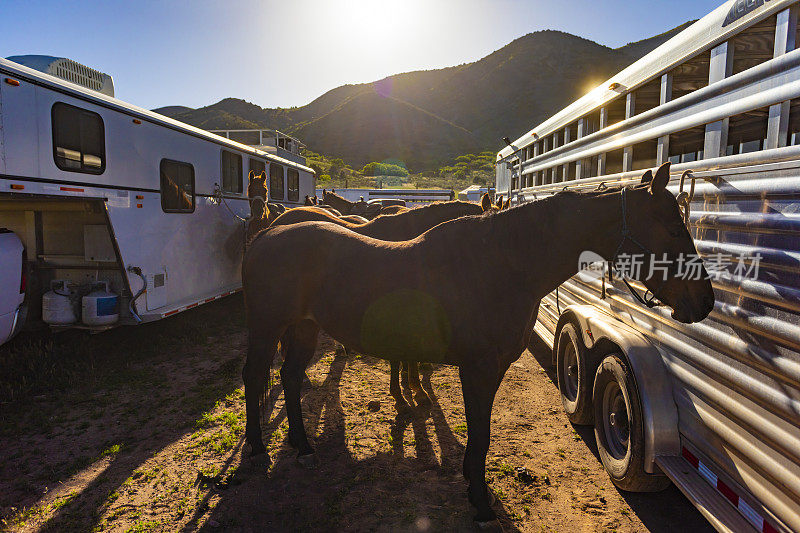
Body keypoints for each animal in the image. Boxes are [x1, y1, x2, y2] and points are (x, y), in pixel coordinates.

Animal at [242, 164, 712, 524]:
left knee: (290, 376)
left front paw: (473, 482)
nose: (704, 301)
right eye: (673, 228)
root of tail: (264, 234)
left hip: (302, 328)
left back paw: (302, 447)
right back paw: (258, 452)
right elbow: (481, 433)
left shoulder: (492, 368)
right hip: (265, 328)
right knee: (254, 378)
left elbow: (480, 431)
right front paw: (481, 502)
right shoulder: (479, 368)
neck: (501, 264)